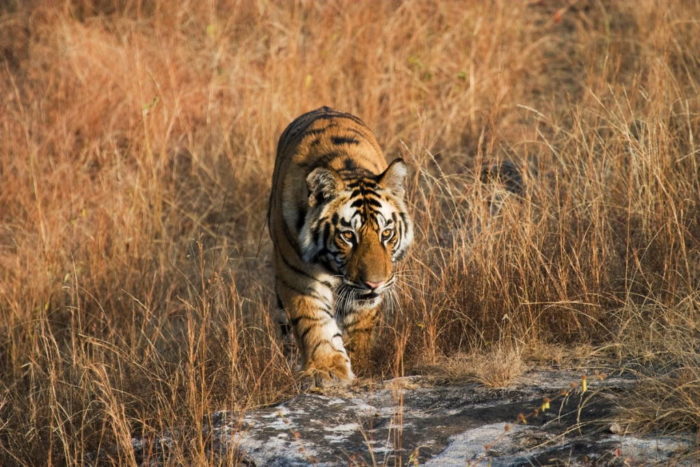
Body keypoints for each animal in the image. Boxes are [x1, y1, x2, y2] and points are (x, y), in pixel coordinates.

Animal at [266, 106, 410, 384]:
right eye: (348, 236)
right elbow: (314, 322)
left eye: (386, 233)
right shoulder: (296, 275)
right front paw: (327, 369)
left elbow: (360, 325)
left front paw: (358, 362)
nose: (374, 283)